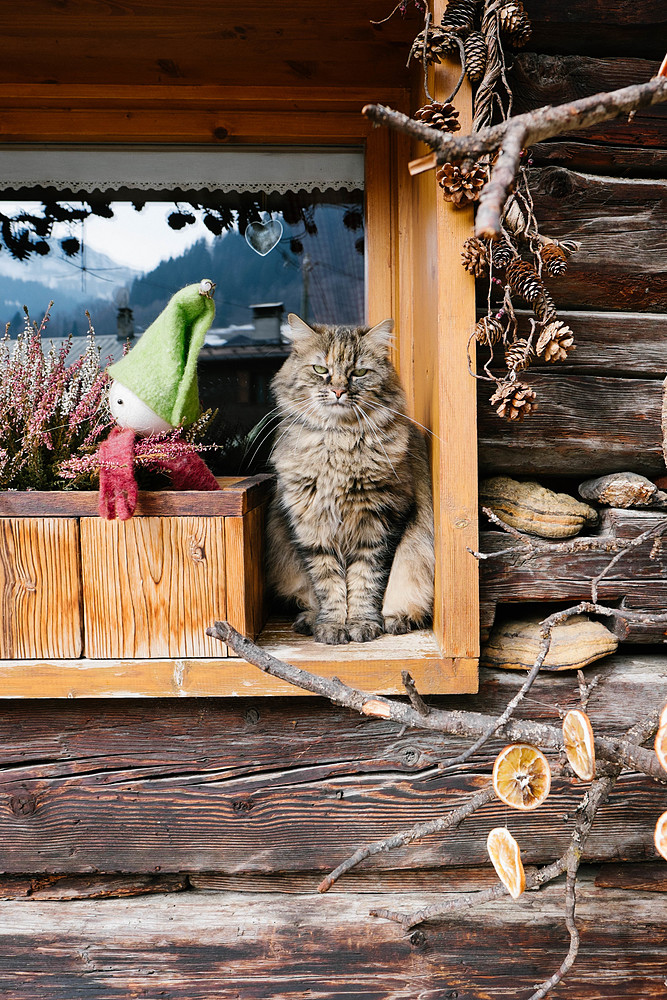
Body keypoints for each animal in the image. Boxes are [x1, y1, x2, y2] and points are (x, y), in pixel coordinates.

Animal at [264, 310, 436, 648]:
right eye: (321, 369)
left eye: (358, 373)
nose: (339, 391)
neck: (338, 444)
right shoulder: (310, 529)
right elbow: (328, 585)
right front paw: (332, 626)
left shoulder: (380, 522)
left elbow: (365, 582)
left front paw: (361, 624)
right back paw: (308, 620)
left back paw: (396, 620)